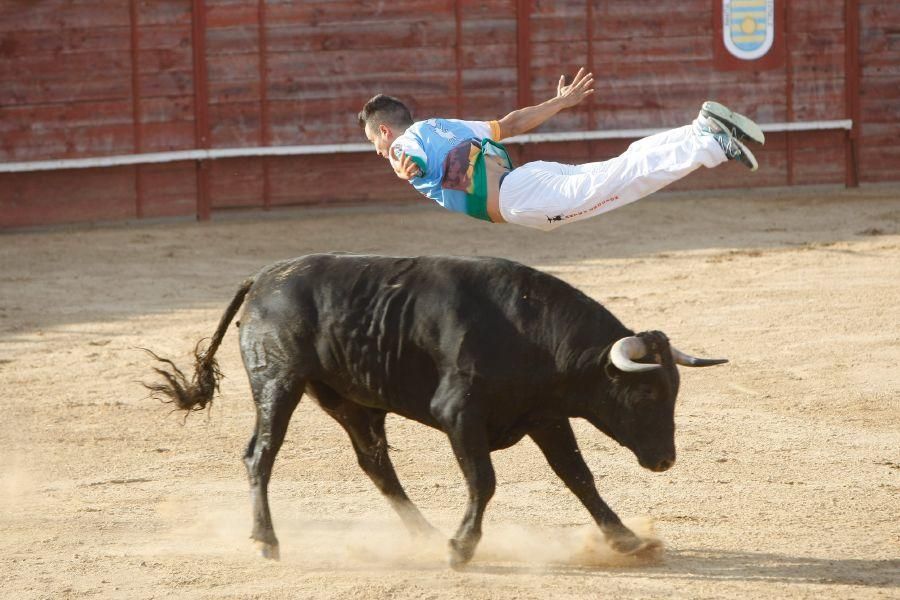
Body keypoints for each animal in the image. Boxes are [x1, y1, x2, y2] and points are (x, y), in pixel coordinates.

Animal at [146, 254, 724, 568]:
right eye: (648, 395)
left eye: (674, 391)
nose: (665, 460)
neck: (530, 334)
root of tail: (264, 278)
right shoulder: (460, 416)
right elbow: (484, 481)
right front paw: (461, 548)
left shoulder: (545, 417)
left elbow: (578, 476)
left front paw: (628, 540)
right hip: (278, 384)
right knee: (260, 455)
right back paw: (268, 541)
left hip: (352, 401)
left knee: (376, 465)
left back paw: (421, 534)